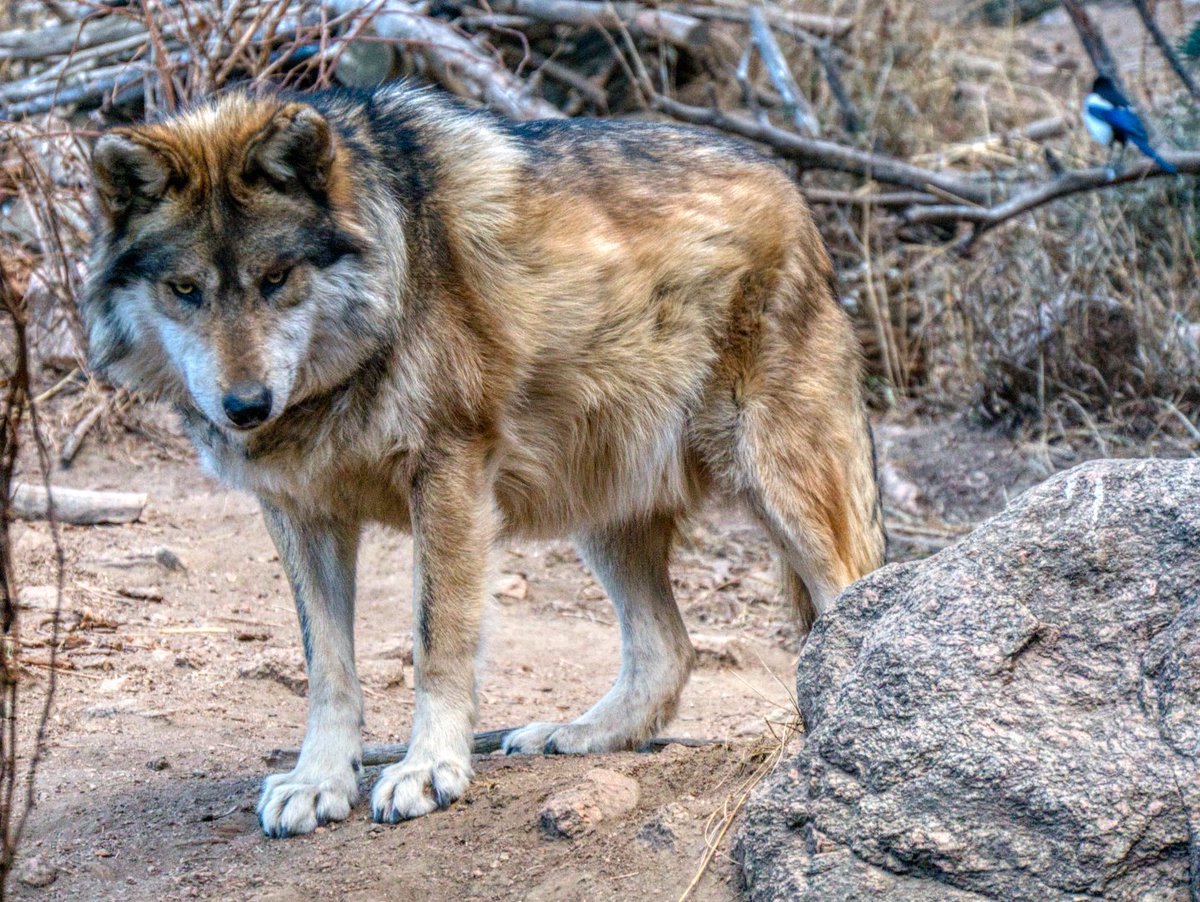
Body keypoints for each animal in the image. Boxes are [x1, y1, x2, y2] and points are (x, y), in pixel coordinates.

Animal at [83, 83, 885, 837]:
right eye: (185, 290)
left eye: (276, 278)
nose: (245, 407)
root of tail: (791, 189)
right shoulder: (298, 510)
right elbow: (327, 668)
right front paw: (319, 781)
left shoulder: (449, 472)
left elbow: (437, 639)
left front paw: (429, 768)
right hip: (603, 504)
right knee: (669, 650)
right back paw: (579, 733)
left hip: (781, 485)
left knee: (849, 597)